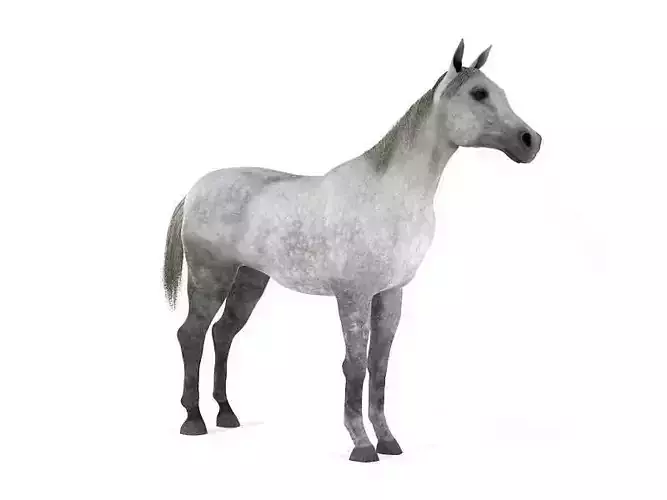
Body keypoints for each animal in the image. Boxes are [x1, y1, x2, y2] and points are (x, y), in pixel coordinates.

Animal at [162, 39, 542, 462]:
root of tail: (193, 192)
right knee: (191, 335)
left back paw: (227, 414)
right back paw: (194, 420)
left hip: (250, 281)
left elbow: (379, 366)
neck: (391, 193)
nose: (531, 141)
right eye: (478, 93)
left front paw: (388, 440)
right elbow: (355, 365)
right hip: (210, 277)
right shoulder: (353, 296)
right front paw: (361, 444)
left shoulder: (390, 294)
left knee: (222, 334)